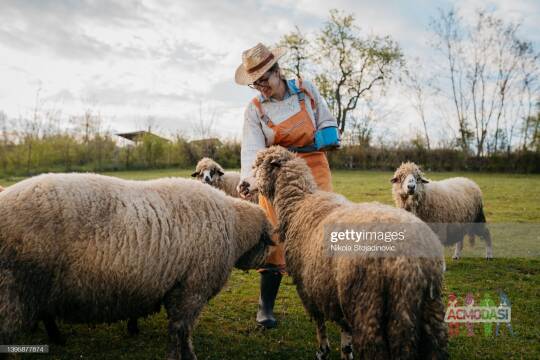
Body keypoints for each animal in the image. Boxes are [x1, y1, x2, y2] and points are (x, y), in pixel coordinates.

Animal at [0, 173, 272, 358]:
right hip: (13, 291)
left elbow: (177, 331)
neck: (234, 227)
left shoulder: (178, 289)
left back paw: (57, 337)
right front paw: (185, 356)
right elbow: (181, 332)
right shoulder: (191, 289)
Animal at [253, 146, 448, 360]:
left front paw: (322, 350)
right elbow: (345, 334)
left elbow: (319, 323)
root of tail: (412, 263)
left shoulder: (307, 287)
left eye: (257, 166)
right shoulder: (337, 292)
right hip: (428, 312)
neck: (299, 203)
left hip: (368, 308)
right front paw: (345, 352)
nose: (244, 185)